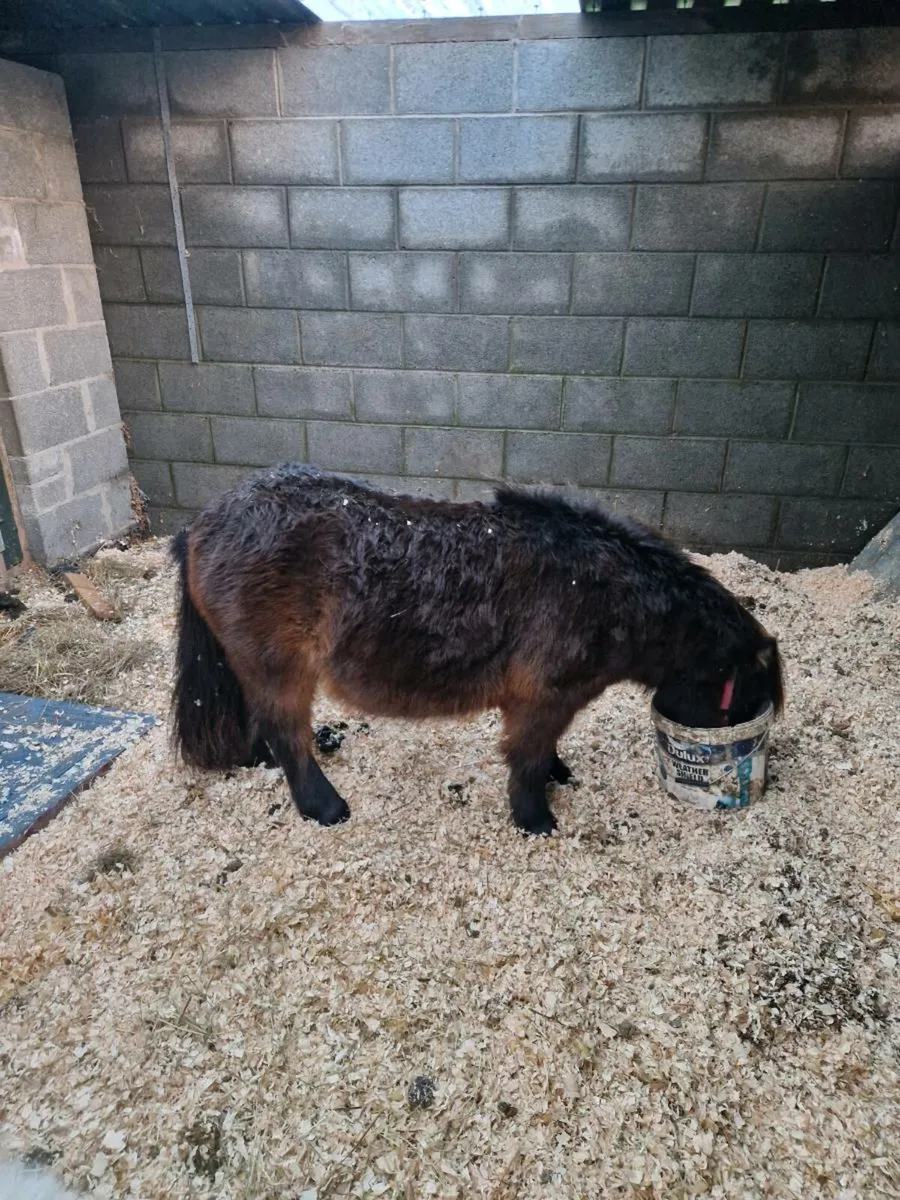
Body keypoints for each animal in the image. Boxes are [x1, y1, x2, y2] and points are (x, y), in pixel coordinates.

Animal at [171, 464, 783, 836]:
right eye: (741, 700)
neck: (605, 592)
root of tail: (200, 523)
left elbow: (545, 750)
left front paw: (559, 775)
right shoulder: (544, 698)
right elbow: (527, 757)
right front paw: (535, 820)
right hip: (280, 668)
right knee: (287, 734)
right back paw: (325, 807)